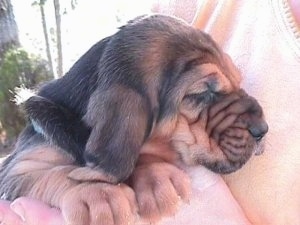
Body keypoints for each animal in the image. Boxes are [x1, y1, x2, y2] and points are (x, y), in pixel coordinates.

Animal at [0, 14, 268, 224]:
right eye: (203, 93)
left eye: (238, 80)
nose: (263, 130)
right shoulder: (16, 170)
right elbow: (51, 174)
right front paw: (98, 195)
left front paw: (155, 177)